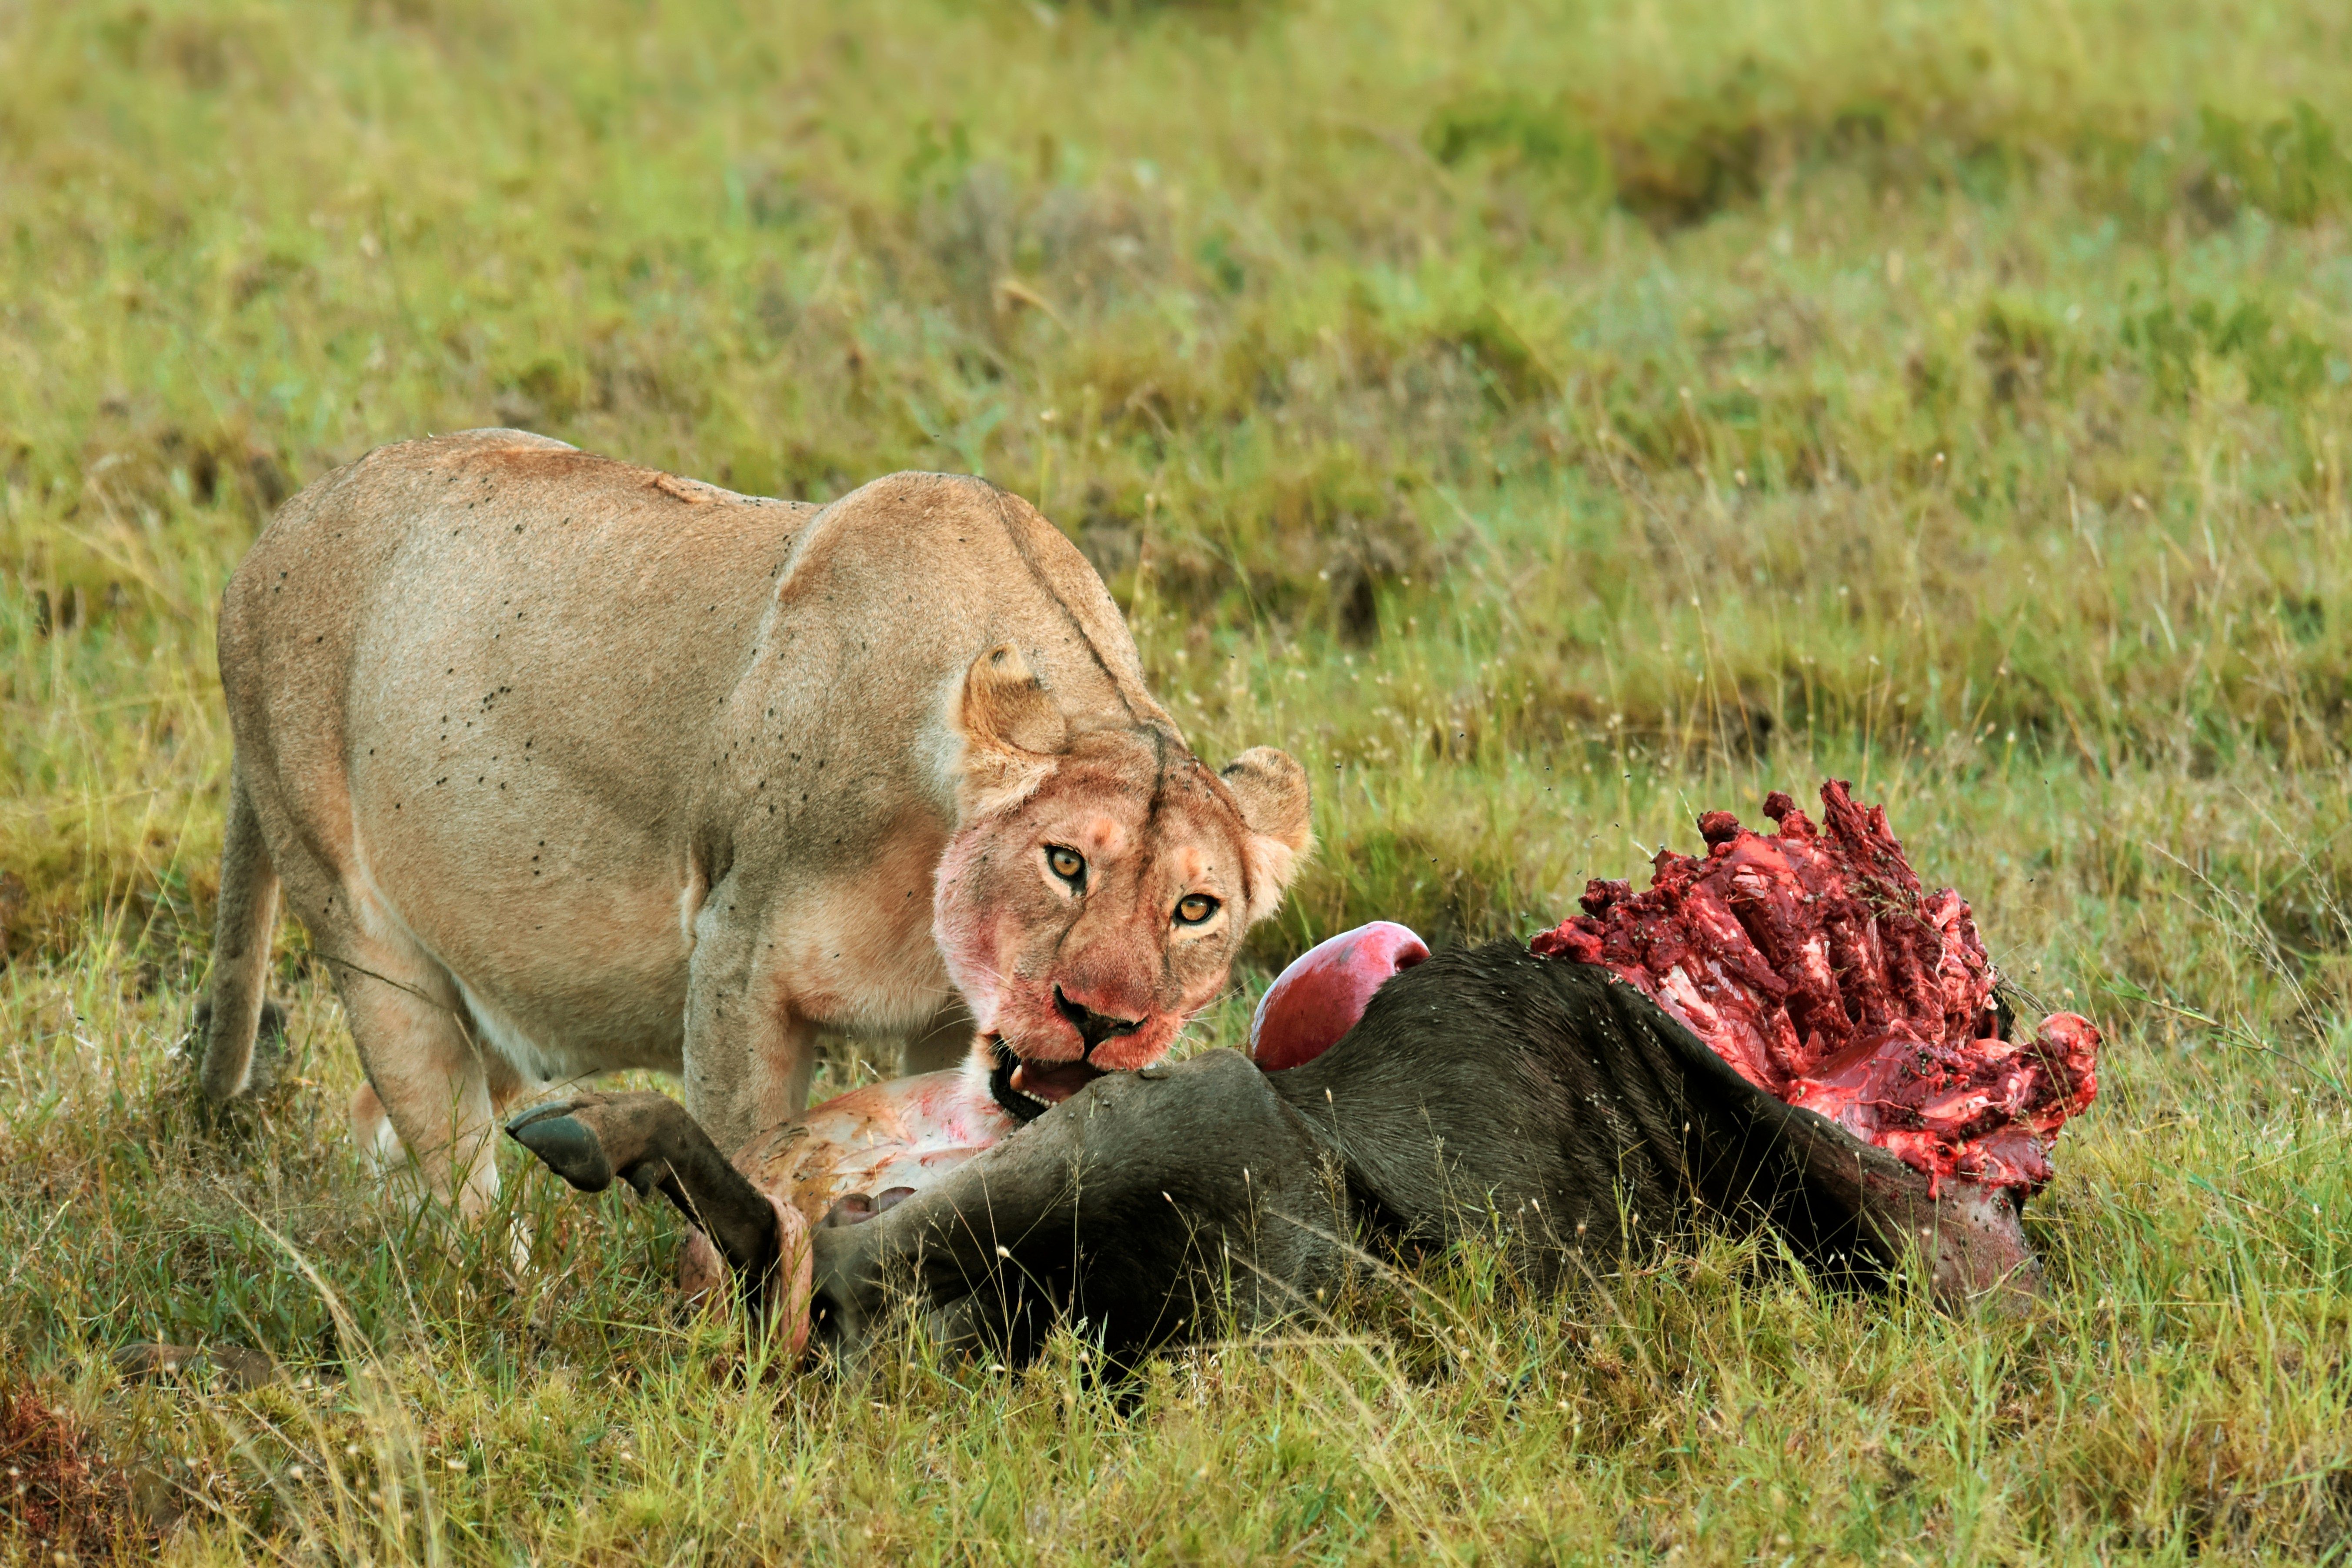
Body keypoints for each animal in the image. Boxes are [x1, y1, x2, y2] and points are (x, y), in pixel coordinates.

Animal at [197, 430, 1312, 1218]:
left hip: (507, 972)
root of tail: (270, 533)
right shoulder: (736, 964)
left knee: (385, 1122)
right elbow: (748, 1162)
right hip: (368, 938)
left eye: (1195, 909)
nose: (1101, 1021)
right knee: (447, 1153)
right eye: (1064, 862)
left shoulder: (945, 1025)